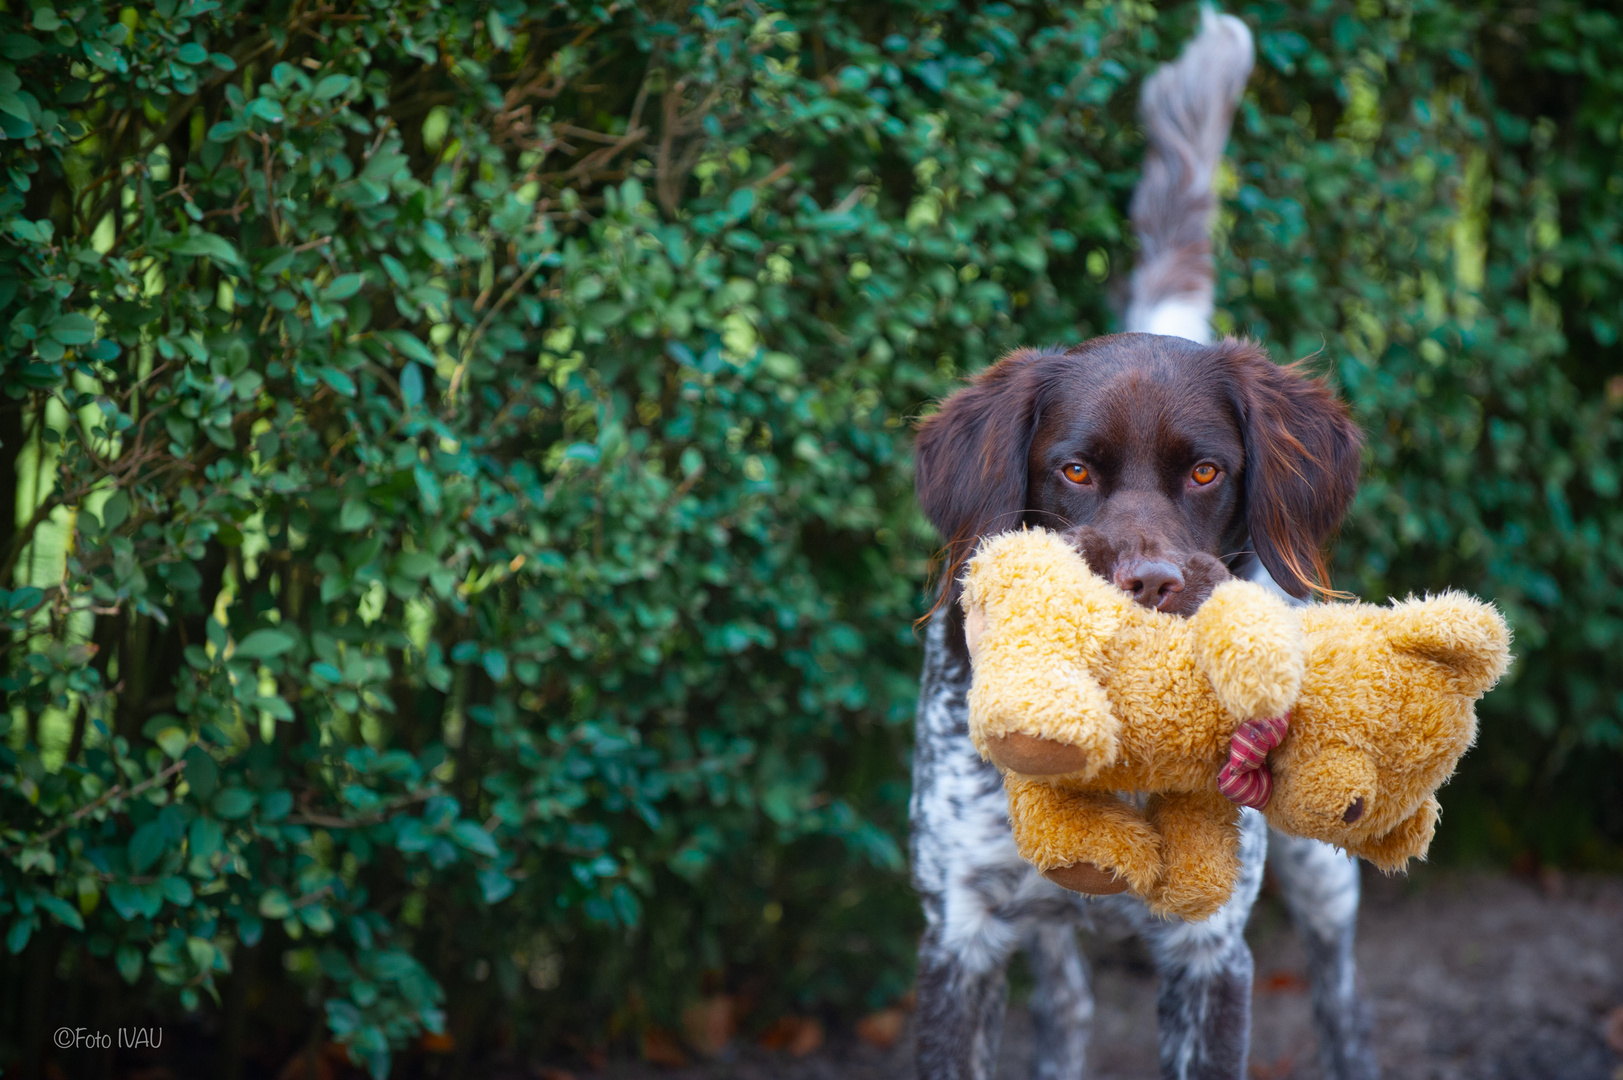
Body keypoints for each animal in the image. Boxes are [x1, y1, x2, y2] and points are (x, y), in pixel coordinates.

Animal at [908, 10, 1376, 1078]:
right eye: (1074, 471)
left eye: (1204, 473)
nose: (1152, 581)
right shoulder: (960, 931)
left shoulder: (1210, 949)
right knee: (1070, 1004)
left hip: (1321, 860)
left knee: (1339, 988)